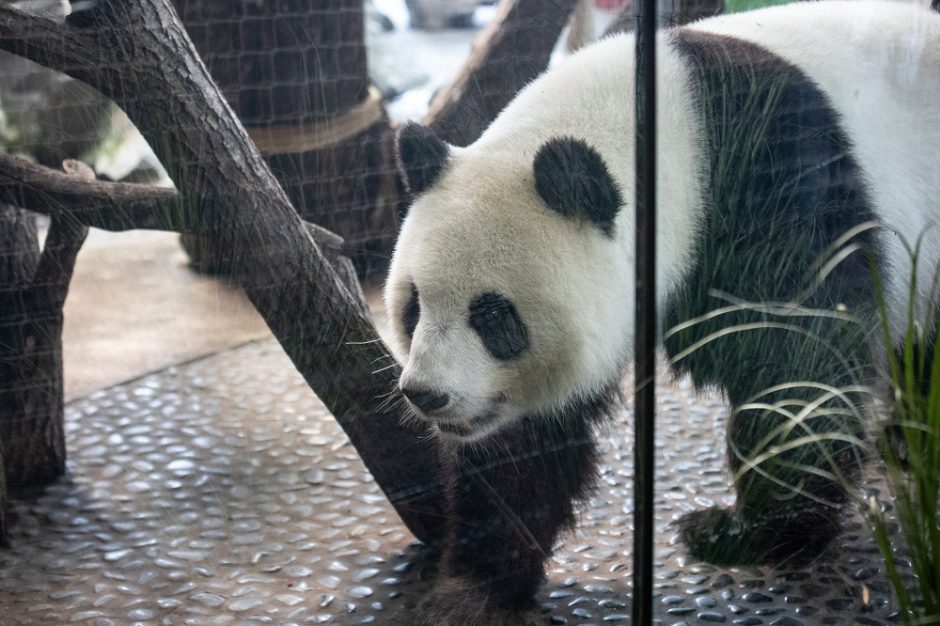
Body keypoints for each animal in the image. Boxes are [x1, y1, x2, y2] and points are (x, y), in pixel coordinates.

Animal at [382, 2, 940, 620]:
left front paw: (746, 534)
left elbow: (798, 359)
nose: (427, 394)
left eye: (493, 318)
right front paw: (473, 591)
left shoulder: (777, 184)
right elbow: (523, 447)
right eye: (413, 307)